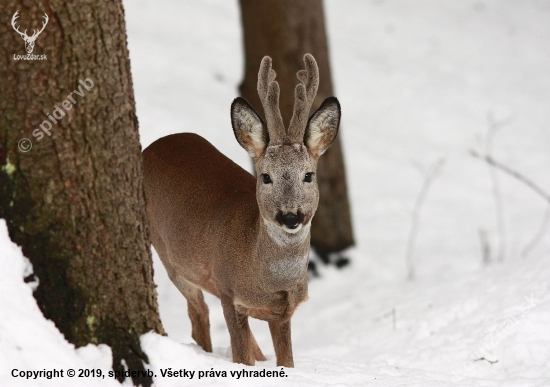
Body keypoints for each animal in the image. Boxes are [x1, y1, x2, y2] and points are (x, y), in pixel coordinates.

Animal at [142, 53, 340, 366]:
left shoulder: (282, 313)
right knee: (198, 313)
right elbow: (240, 356)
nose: (290, 216)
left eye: (308, 175)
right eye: (266, 176)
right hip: (169, 256)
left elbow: (285, 361)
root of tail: (153, 145)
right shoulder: (228, 291)